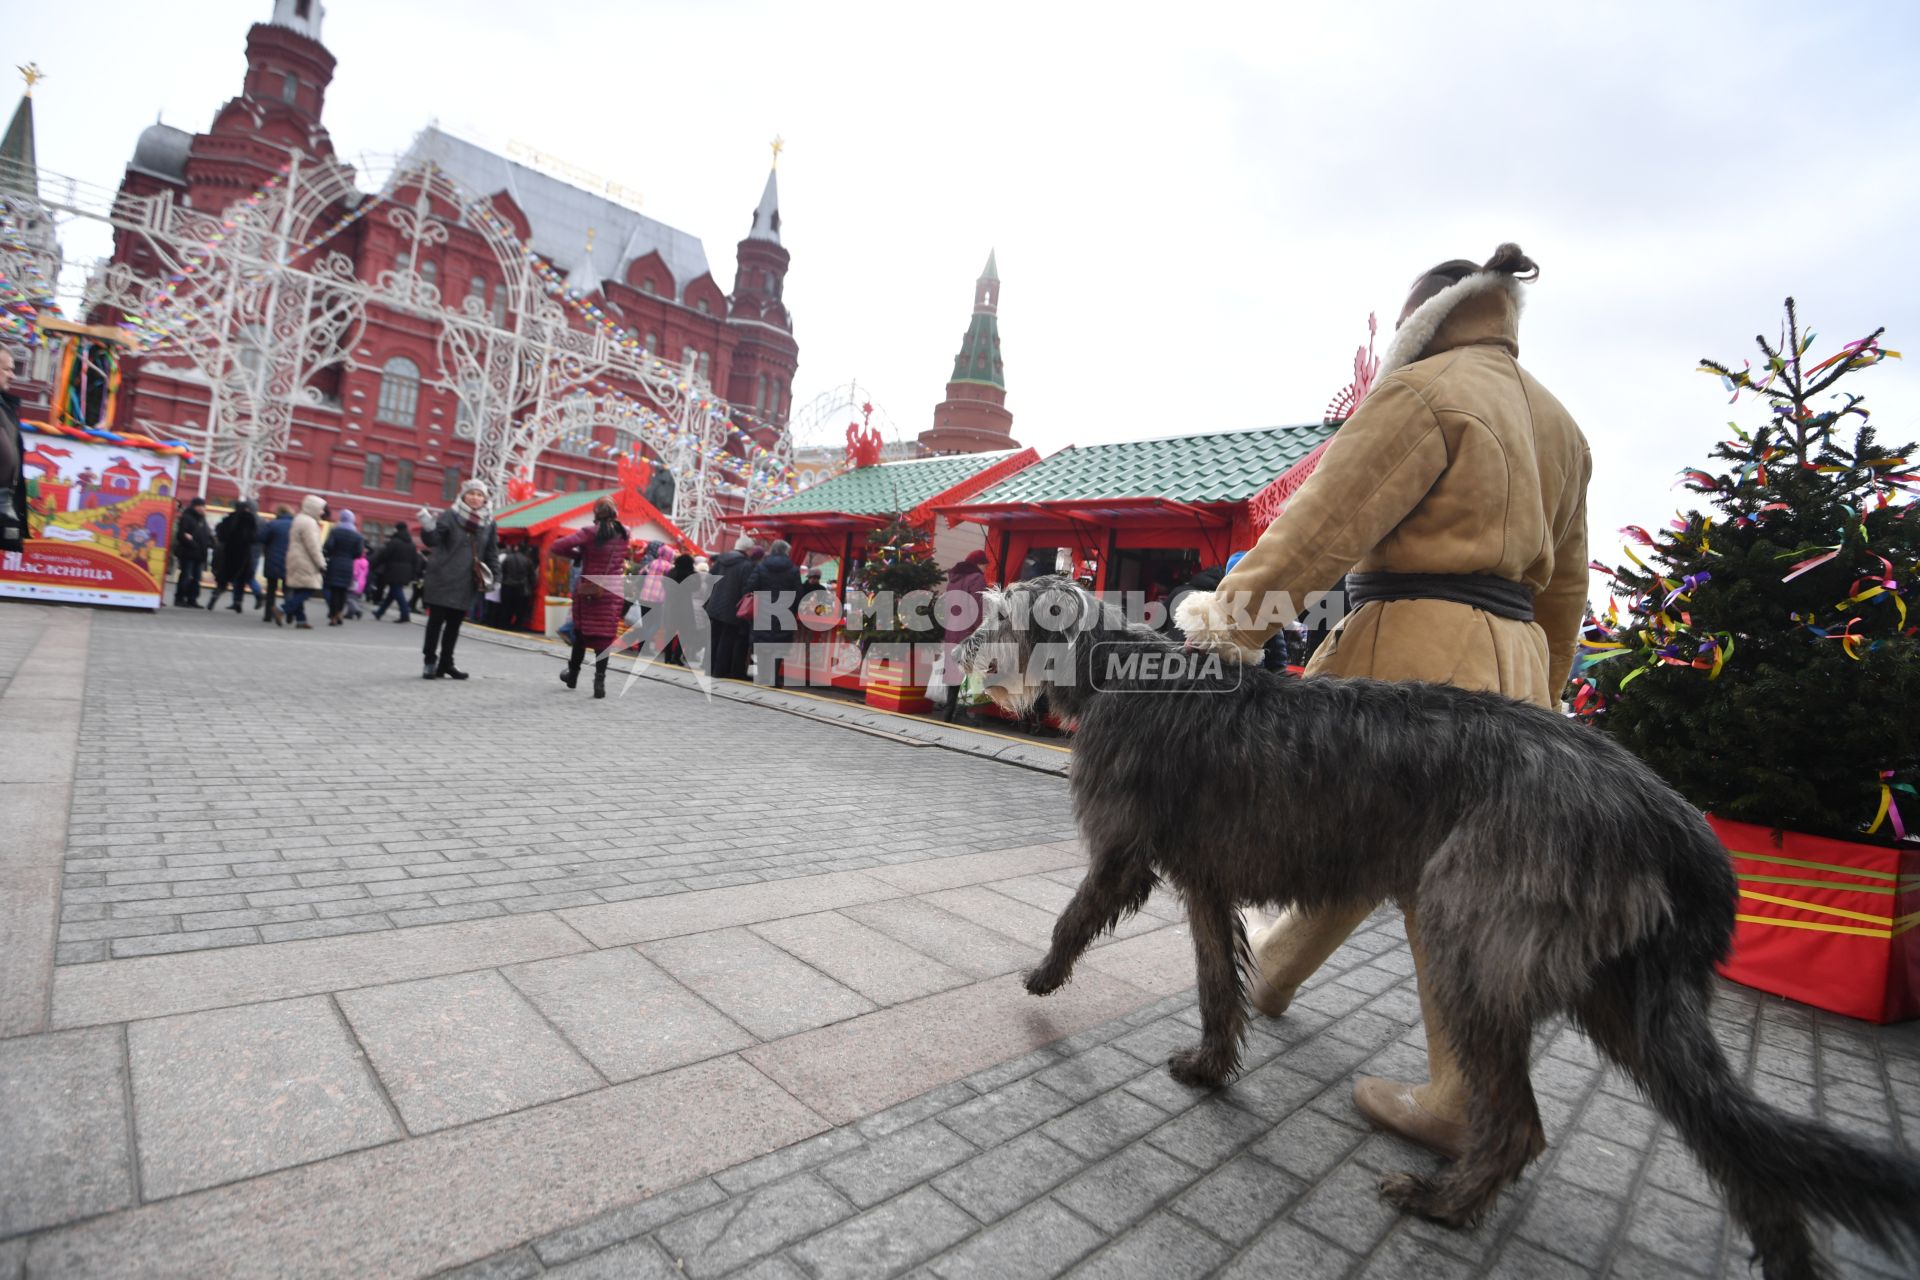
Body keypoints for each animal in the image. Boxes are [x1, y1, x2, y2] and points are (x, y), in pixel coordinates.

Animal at [960, 579, 1920, 1280]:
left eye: (1002, 612)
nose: (956, 653)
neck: (1121, 671)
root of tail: (1682, 828)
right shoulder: (1207, 884)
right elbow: (1213, 984)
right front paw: (1210, 1064)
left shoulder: (1125, 852)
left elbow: (1079, 912)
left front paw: (1041, 977)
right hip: (1625, 995)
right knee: (1733, 1138)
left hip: (1477, 943)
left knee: (1524, 1123)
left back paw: (1445, 1204)